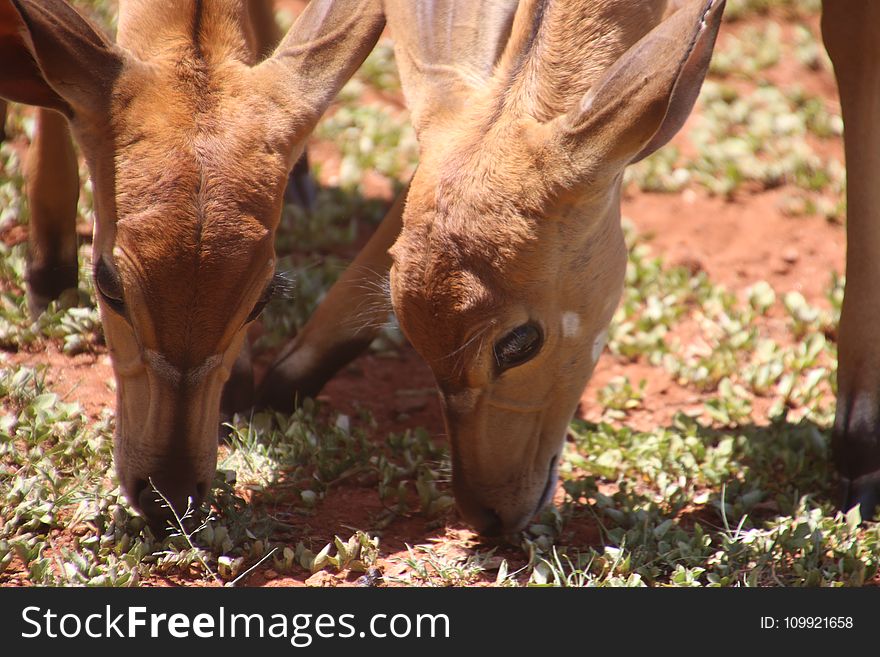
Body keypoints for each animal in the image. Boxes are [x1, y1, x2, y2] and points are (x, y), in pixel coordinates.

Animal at [262, 0, 880, 532]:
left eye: (518, 342)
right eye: (410, 332)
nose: (486, 514)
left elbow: (851, 44)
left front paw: (861, 454)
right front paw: (282, 375)